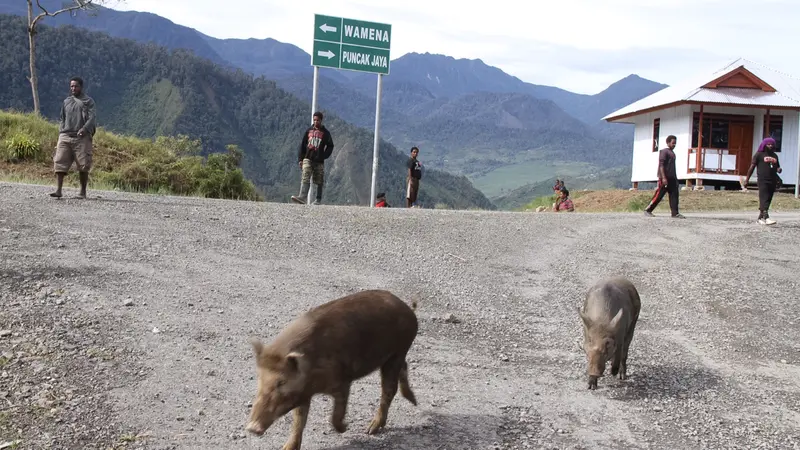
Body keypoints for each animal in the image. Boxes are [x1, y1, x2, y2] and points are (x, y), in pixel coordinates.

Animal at [244, 290, 418, 448]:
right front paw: (286, 448)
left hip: (397, 352)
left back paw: (370, 430)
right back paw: (413, 401)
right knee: (404, 368)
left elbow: (336, 414)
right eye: (260, 379)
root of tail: (408, 309)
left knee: (389, 390)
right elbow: (299, 421)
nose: (252, 427)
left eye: (281, 382)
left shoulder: (342, 381)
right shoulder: (304, 395)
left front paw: (345, 428)